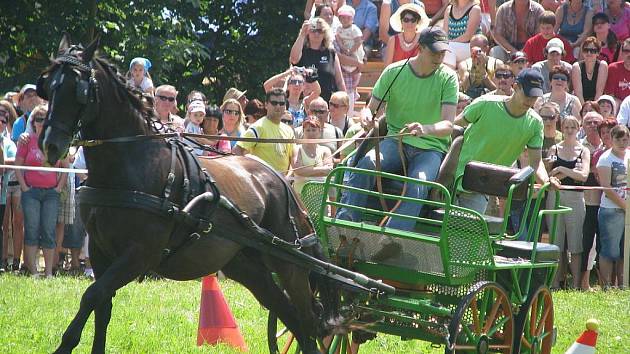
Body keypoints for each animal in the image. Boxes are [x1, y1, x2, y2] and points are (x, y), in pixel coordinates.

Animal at [35, 35, 340, 354]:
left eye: (78, 90)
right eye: (49, 86)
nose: (50, 145)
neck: (129, 163)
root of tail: (282, 182)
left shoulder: (139, 254)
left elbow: (92, 296)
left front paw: (64, 345)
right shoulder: (99, 249)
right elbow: (102, 305)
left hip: (289, 265)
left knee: (306, 320)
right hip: (247, 266)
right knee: (290, 316)